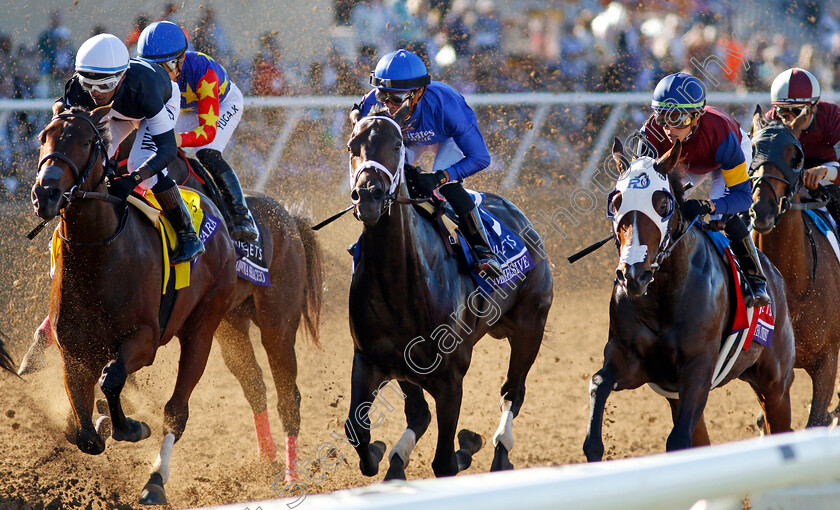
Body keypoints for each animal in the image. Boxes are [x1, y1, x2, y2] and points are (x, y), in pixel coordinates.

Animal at [31, 102, 238, 502]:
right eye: (44, 136)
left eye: (85, 142)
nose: (45, 193)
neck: (98, 254)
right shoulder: (74, 350)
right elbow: (86, 436)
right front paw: (100, 420)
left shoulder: (144, 338)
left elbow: (112, 379)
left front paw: (130, 427)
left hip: (203, 326)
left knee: (176, 411)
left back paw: (155, 480)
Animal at [344, 105, 556, 480]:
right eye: (352, 145)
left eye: (397, 145)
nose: (368, 196)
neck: (399, 285)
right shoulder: (372, 360)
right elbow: (358, 431)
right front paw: (382, 452)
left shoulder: (450, 378)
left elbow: (444, 462)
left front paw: (466, 446)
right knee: (419, 414)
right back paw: (397, 459)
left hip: (530, 325)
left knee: (513, 393)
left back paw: (500, 453)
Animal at [584, 137, 796, 460]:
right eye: (616, 202)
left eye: (662, 204)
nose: (633, 274)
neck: (664, 293)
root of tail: (775, 276)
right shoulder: (632, 360)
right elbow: (599, 384)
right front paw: (594, 446)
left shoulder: (698, 370)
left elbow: (678, 439)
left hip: (775, 384)